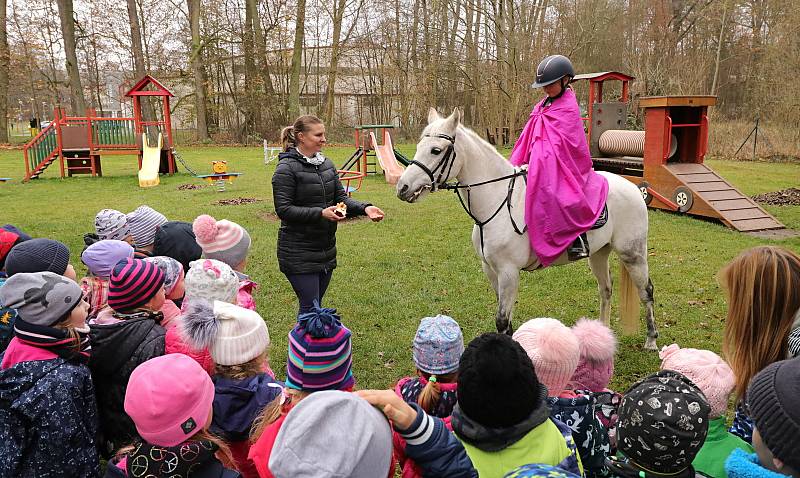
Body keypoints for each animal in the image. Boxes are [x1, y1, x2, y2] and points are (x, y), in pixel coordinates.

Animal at [396, 108, 660, 350]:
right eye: (419, 146)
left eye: (436, 150)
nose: (402, 187)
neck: (497, 201)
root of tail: (634, 189)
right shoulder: (491, 270)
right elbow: (507, 320)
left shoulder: (509, 272)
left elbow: (502, 320)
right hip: (598, 254)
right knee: (605, 289)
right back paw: (602, 334)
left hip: (633, 254)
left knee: (646, 291)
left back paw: (651, 340)